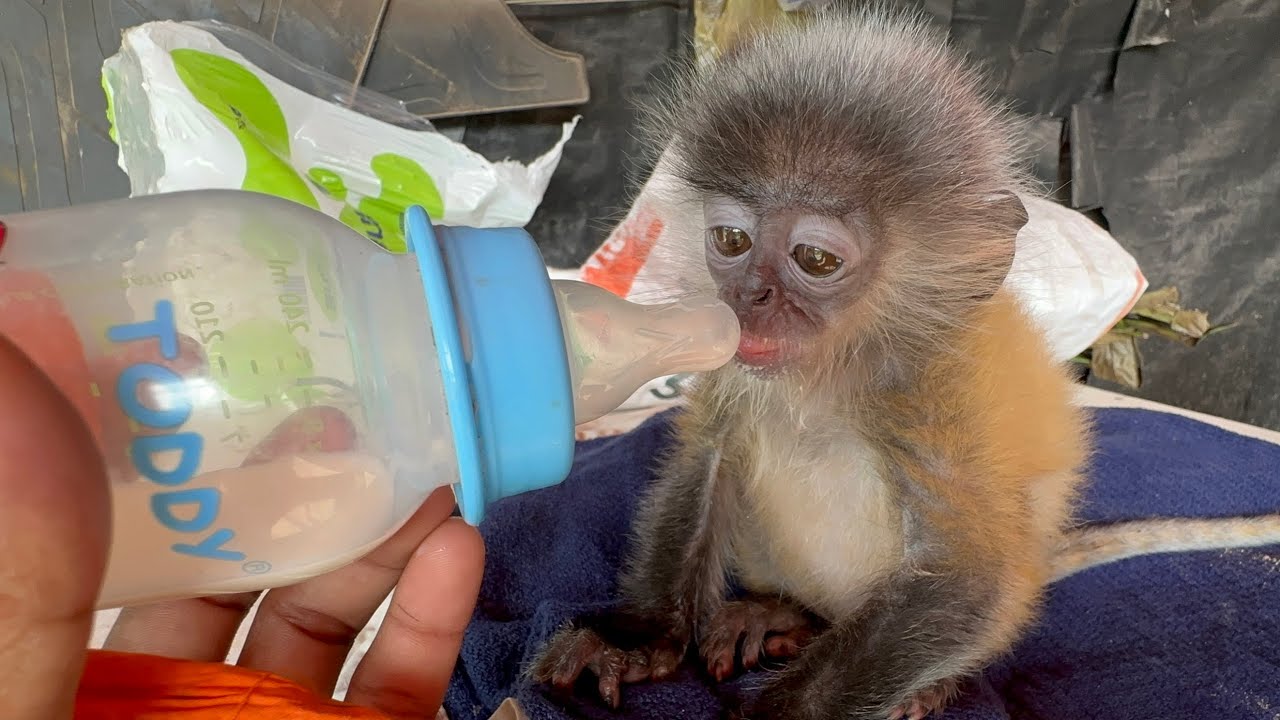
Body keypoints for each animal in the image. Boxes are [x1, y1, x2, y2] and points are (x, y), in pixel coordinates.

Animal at [524, 5, 1280, 720]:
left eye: (815, 259)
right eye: (733, 241)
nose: (748, 299)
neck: (831, 375)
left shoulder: (935, 392)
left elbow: (961, 577)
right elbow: (706, 461)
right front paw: (634, 640)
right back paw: (778, 614)